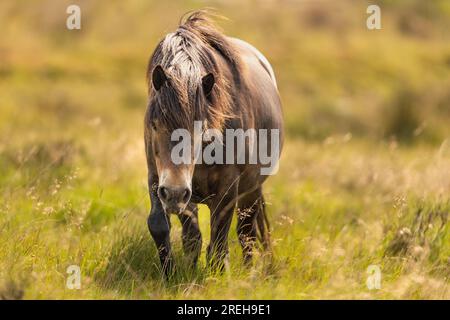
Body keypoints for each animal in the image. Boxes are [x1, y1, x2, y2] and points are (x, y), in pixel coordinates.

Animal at [144, 10, 284, 276]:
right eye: (155, 125)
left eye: (201, 128)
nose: (175, 192)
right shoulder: (158, 178)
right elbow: (165, 227)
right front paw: (172, 275)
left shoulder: (228, 189)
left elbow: (219, 245)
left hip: (250, 191)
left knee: (246, 233)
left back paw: (249, 274)